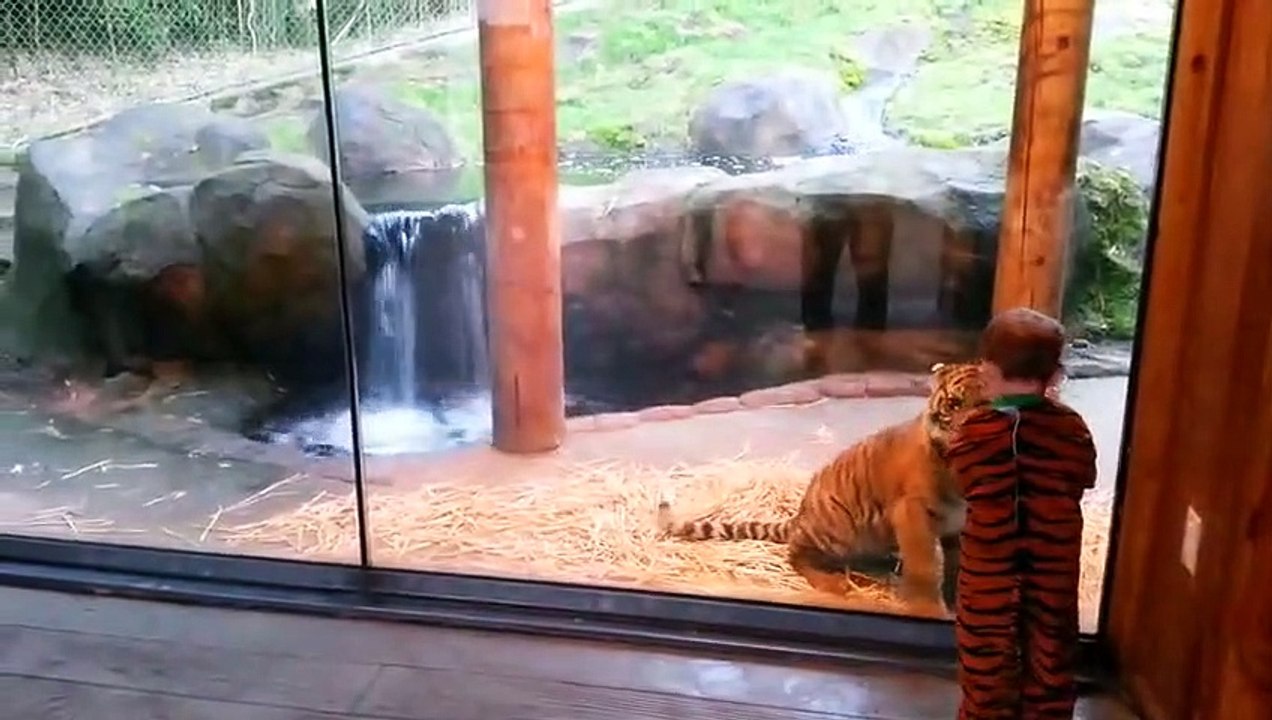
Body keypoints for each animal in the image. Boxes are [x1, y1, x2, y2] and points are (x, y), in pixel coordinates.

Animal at [657, 361, 985, 614]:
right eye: (954, 404)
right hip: (840, 526)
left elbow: (958, 563)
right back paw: (836, 583)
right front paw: (929, 610)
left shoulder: (958, 522)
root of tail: (800, 517)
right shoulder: (912, 511)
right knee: (796, 556)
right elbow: (924, 566)